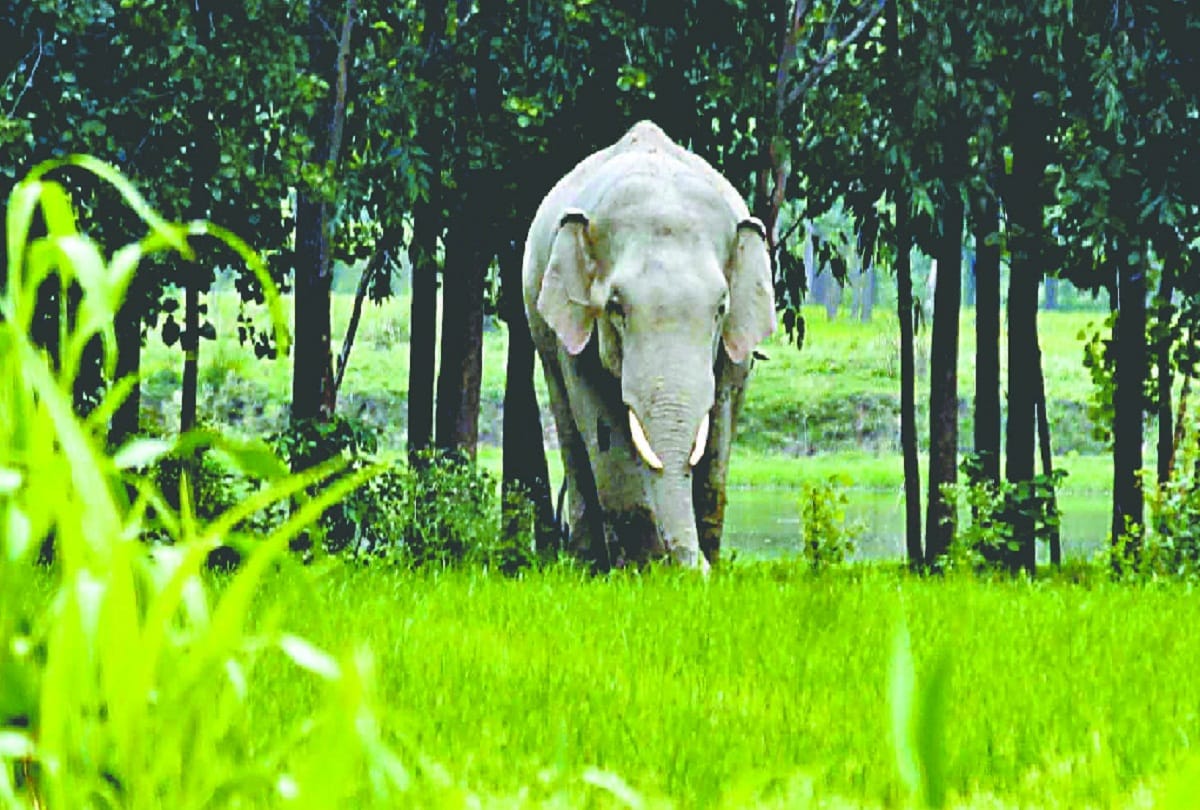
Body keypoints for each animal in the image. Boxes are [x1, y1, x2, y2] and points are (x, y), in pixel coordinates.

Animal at [522, 120, 776, 571]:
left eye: (720, 308)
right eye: (616, 308)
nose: (692, 566)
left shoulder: (733, 351)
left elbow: (718, 422)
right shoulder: (575, 339)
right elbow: (603, 425)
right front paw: (641, 568)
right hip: (543, 335)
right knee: (570, 428)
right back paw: (587, 563)